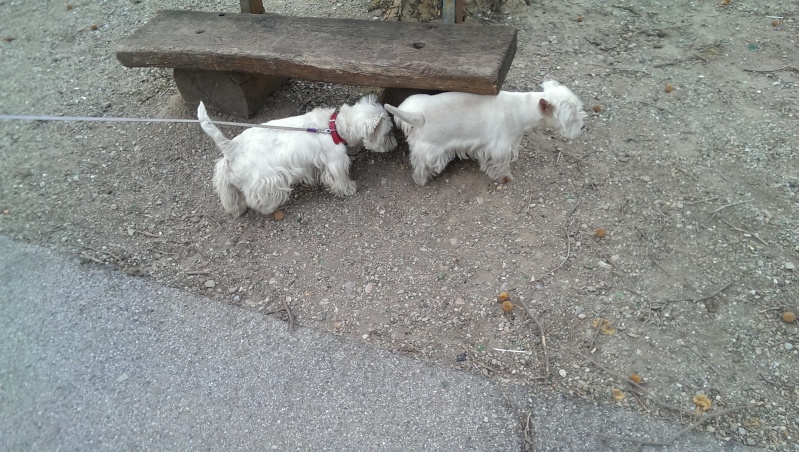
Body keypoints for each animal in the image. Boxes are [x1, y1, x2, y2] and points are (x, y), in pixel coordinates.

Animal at [198, 94, 396, 216]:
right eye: (388, 133)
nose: (394, 145)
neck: (334, 127)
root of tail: (232, 147)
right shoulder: (335, 162)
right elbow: (340, 179)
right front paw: (349, 188)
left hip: (225, 177)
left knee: (229, 195)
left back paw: (236, 210)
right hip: (266, 180)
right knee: (257, 199)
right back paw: (269, 207)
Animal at [386, 77, 588, 185]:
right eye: (571, 118)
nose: (583, 127)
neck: (522, 109)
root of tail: (417, 116)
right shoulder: (501, 148)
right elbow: (502, 165)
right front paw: (505, 177)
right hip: (430, 149)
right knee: (420, 165)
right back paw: (421, 179)